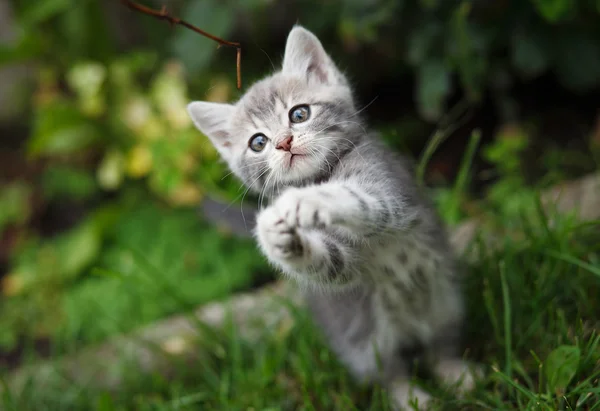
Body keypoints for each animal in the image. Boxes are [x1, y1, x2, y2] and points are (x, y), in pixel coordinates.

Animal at [186, 26, 478, 411]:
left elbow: (359, 198)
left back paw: (456, 374)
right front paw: (277, 238)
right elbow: (330, 263)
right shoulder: (347, 269)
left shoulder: (390, 192)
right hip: (365, 339)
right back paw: (411, 396)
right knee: (389, 371)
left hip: (445, 303)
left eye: (299, 114)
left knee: (441, 345)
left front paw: (302, 200)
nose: (283, 142)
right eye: (258, 142)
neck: (322, 173)